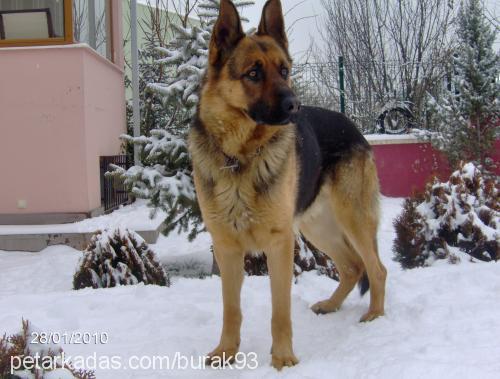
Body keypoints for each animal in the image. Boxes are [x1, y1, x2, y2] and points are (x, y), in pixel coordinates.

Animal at [189, 0, 388, 370]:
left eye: (284, 70)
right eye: (253, 73)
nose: (295, 106)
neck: (241, 156)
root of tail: (354, 127)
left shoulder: (279, 244)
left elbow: (280, 311)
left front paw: (283, 359)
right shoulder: (226, 248)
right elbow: (231, 309)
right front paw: (226, 352)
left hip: (351, 219)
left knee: (376, 268)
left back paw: (375, 317)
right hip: (317, 226)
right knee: (353, 267)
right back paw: (331, 304)